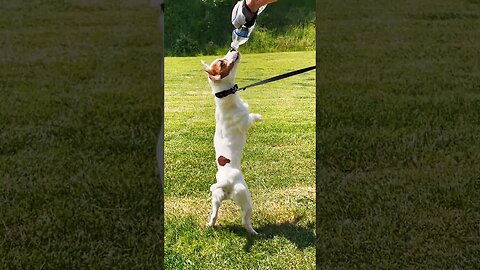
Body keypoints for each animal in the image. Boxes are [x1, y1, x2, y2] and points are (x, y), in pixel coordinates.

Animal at [202, 50, 262, 234]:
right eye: (222, 62)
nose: (233, 50)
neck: (225, 96)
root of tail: (226, 183)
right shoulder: (245, 121)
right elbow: (251, 117)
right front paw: (259, 117)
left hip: (216, 197)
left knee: (214, 215)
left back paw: (210, 225)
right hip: (245, 198)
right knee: (245, 221)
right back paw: (254, 232)